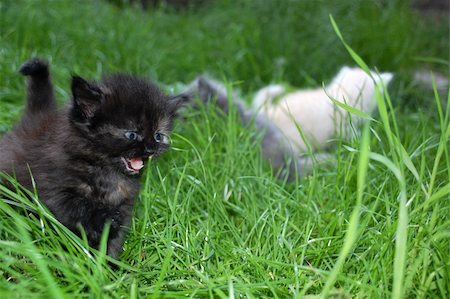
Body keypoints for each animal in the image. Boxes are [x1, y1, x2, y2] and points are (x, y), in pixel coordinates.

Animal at [0, 58, 186, 258]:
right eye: (132, 134)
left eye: (158, 136)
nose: (151, 149)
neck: (107, 173)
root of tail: (35, 117)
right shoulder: (56, 194)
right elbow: (79, 212)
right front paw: (103, 223)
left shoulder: (126, 204)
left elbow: (114, 241)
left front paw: (108, 264)